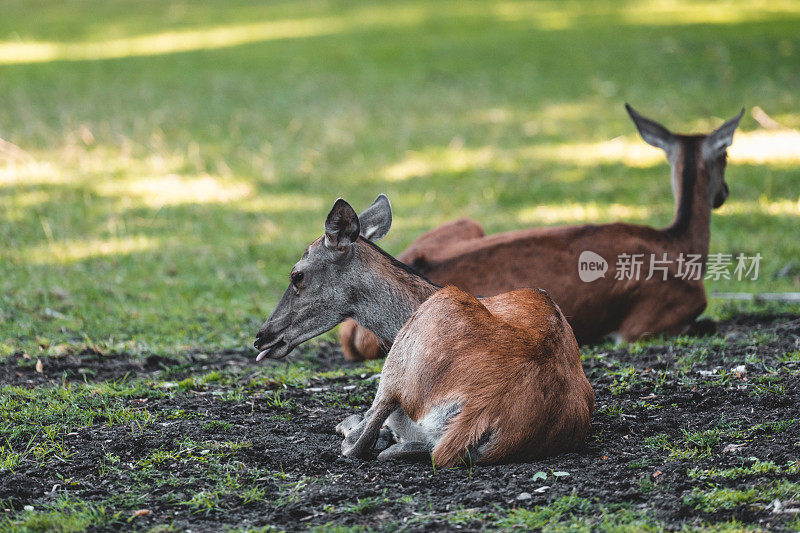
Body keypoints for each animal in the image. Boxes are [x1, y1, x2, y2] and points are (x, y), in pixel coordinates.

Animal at [340, 104, 744, 360]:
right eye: (727, 156)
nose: (724, 193)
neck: (680, 245)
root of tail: (352, 331)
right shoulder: (650, 320)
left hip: (466, 222)